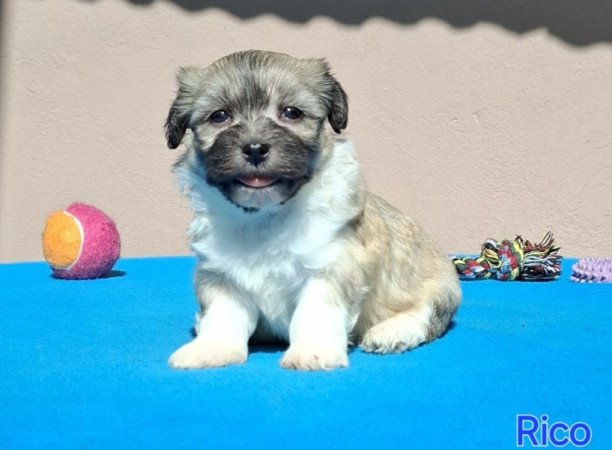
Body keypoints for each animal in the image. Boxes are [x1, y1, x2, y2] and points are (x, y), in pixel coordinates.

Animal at [165, 51, 462, 370]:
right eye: (219, 116)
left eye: (291, 113)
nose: (255, 148)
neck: (265, 215)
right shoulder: (221, 277)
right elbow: (222, 316)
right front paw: (212, 348)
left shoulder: (331, 267)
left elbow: (313, 314)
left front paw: (312, 351)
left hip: (436, 288)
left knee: (425, 312)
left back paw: (392, 331)